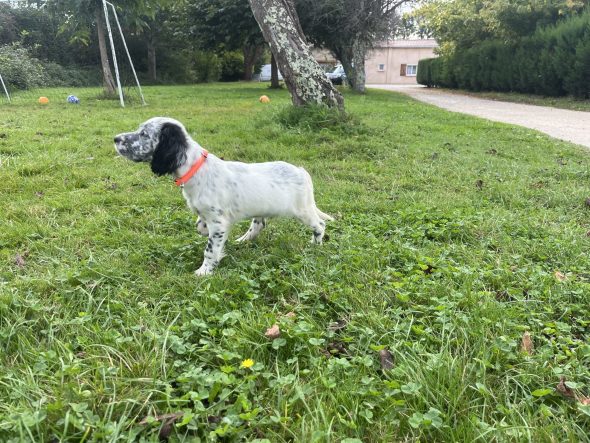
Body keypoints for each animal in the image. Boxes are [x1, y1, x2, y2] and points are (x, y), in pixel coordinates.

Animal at [111, 116, 332, 276]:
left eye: (144, 134)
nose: (115, 139)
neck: (195, 167)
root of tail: (302, 171)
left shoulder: (219, 222)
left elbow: (210, 248)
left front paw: (204, 271)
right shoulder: (207, 214)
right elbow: (200, 227)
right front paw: (207, 236)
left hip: (302, 209)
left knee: (319, 225)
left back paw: (315, 246)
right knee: (259, 224)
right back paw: (243, 240)